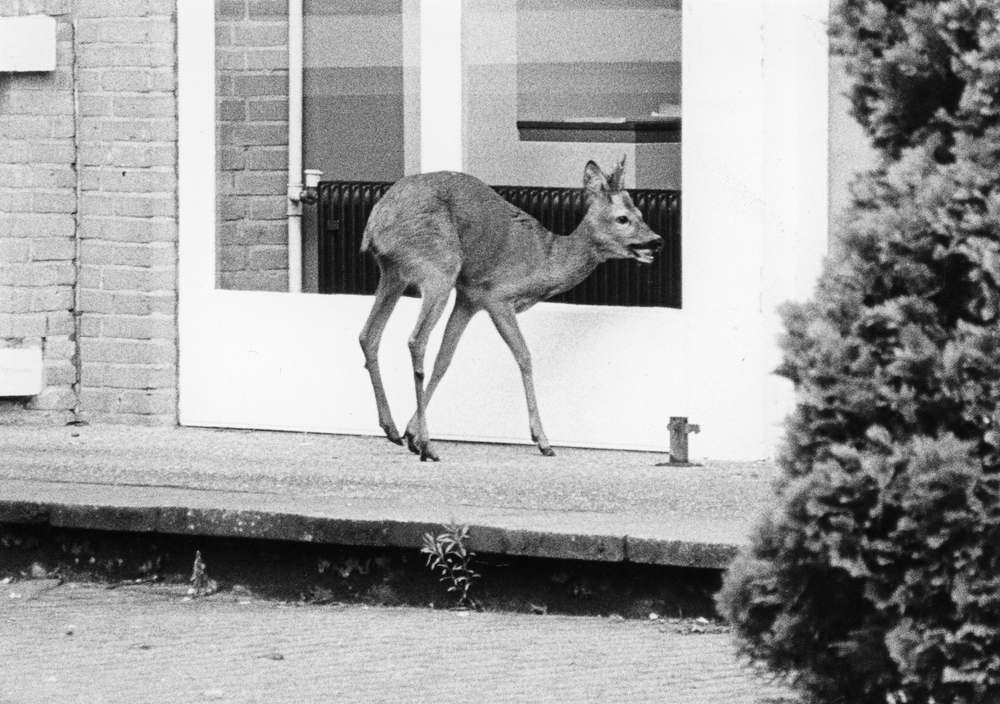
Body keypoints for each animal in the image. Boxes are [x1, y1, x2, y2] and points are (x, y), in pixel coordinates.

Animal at [358, 157, 663, 461]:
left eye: (640, 211)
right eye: (622, 218)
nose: (657, 241)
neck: (546, 260)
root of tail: (375, 225)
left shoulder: (468, 298)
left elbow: (445, 359)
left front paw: (411, 433)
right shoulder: (497, 297)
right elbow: (524, 356)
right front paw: (542, 440)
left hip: (394, 273)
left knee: (368, 335)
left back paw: (392, 429)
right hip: (439, 269)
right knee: (415, 339)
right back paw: (428, 446)